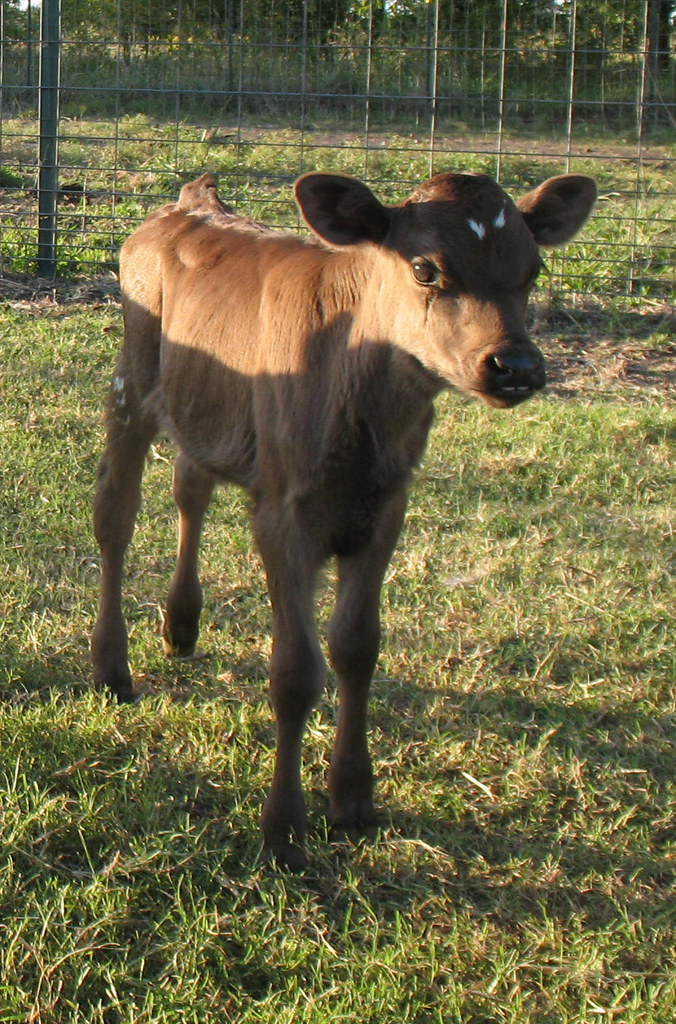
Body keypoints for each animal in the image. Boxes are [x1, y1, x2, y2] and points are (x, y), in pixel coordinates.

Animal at [92, 168, 596, 869]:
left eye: (533, 269)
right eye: (425, 268)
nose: (516, 366)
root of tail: (192, 203)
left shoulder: (384, 511)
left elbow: (358, 648)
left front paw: (354, 799)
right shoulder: (285, 517)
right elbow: (296, 672)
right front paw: (284, 828)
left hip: (209, 409)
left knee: (191, 484)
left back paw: (181, 625)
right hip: (130, 388)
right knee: (116, 513)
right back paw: (112, 668)